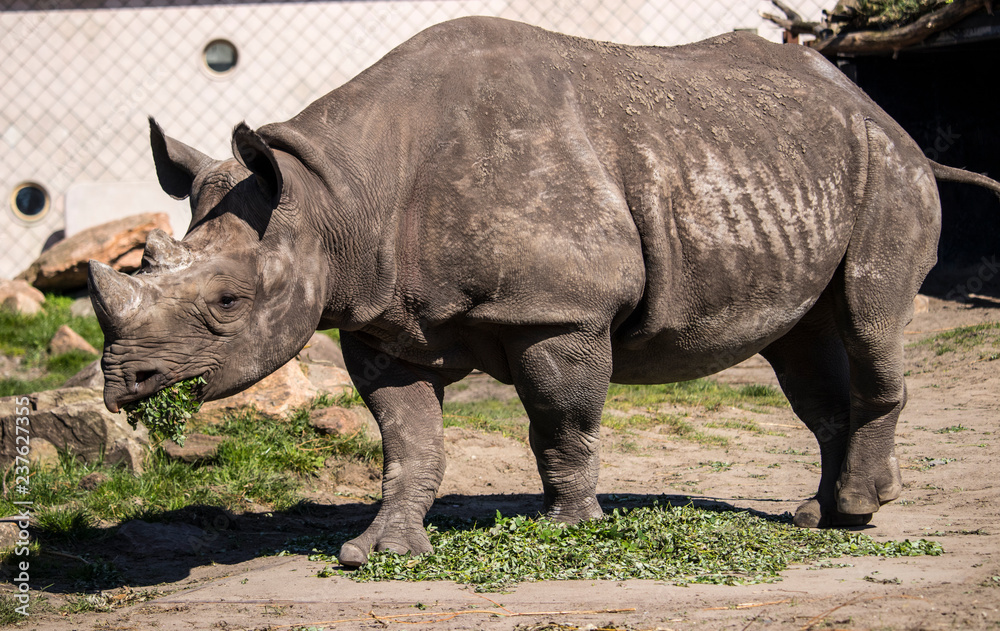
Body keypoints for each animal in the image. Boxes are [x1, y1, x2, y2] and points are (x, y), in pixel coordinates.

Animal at [89, 16, 1000, 566]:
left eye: (228, 303)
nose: (125, 381)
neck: (335, 195)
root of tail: (882, 111)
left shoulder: (559, 310)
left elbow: (561, 419)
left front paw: (565, 525)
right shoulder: (379, 320)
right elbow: (407, 439)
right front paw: (379, 551)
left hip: (887, 173)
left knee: (870, 319)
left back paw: (858, 511)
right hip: (784, 162)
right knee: (803, 349)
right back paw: (819, 517)